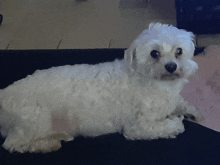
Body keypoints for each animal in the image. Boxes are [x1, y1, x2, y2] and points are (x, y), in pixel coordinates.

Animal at [0, 22, 199, 153]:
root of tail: (4, 94)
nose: (171, 66)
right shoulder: (137, 127)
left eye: (179, 51)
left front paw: (190, 111)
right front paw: (177, 122)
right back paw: (47, 144)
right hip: (35, 118)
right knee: (13, 143)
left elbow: (180, 103)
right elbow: (173, 125)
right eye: (154, 53)